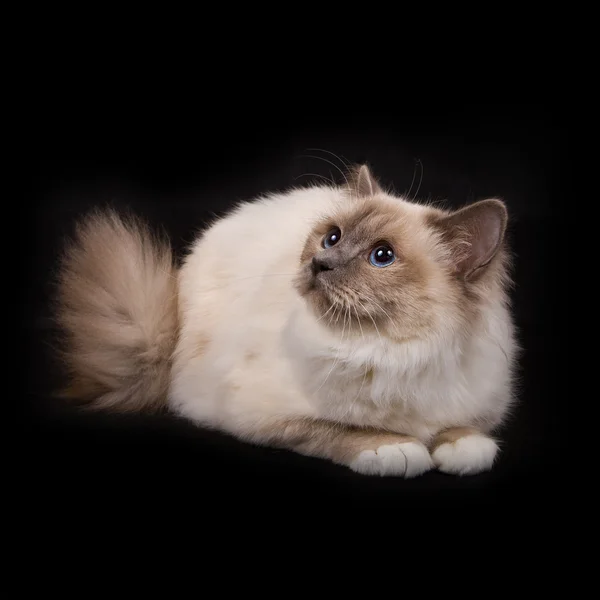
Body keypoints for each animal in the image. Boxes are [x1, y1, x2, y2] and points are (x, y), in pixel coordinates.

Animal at [54, 163, 516, 478]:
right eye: (332, 237)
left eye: (382, 256)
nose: (320, 263)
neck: (390, 351)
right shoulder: (261, 413)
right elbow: (336, 428)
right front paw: (396, 449)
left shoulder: (472, 404)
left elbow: (464, 430)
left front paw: (461, 448)